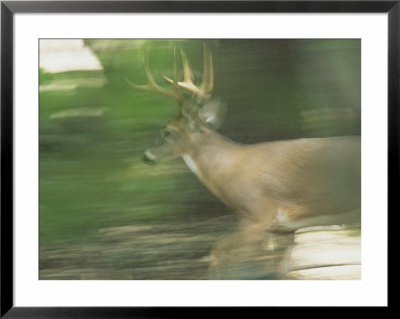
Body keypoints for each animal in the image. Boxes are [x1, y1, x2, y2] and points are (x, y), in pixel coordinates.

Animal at [126, 45, 360, 280]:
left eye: (167, 131)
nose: (146, 156)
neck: (229, 171)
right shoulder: (283, 227)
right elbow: (280, 271)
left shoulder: (260, 214)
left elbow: (220, 252)